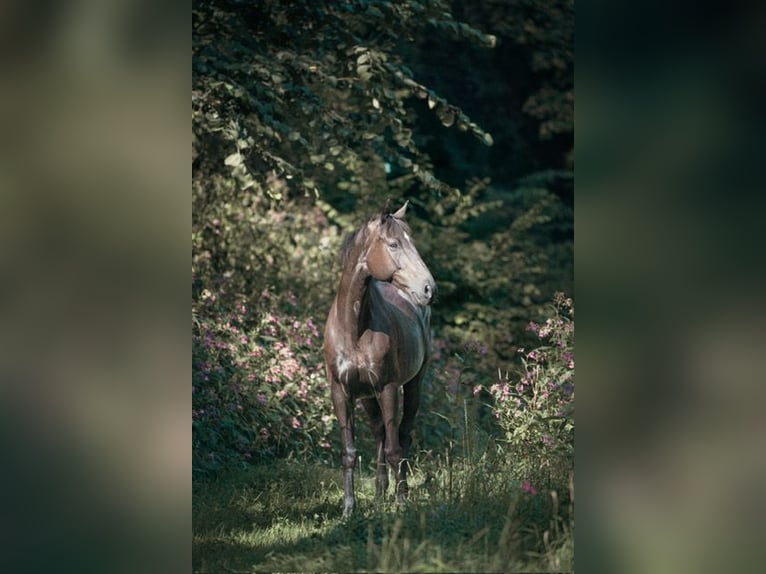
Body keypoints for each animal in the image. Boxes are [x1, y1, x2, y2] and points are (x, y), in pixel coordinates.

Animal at [320, 201, 436, 516]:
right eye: (394, 244)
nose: (428, 289)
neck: (354, 329)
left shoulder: (388, 389)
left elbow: (396, 448)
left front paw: (402, 504)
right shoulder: (341, 392)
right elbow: (349, 452)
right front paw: (349, 509)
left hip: (412, 385)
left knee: (402, 435)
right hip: (367, 397)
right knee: (380, 433)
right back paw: (380, 493)